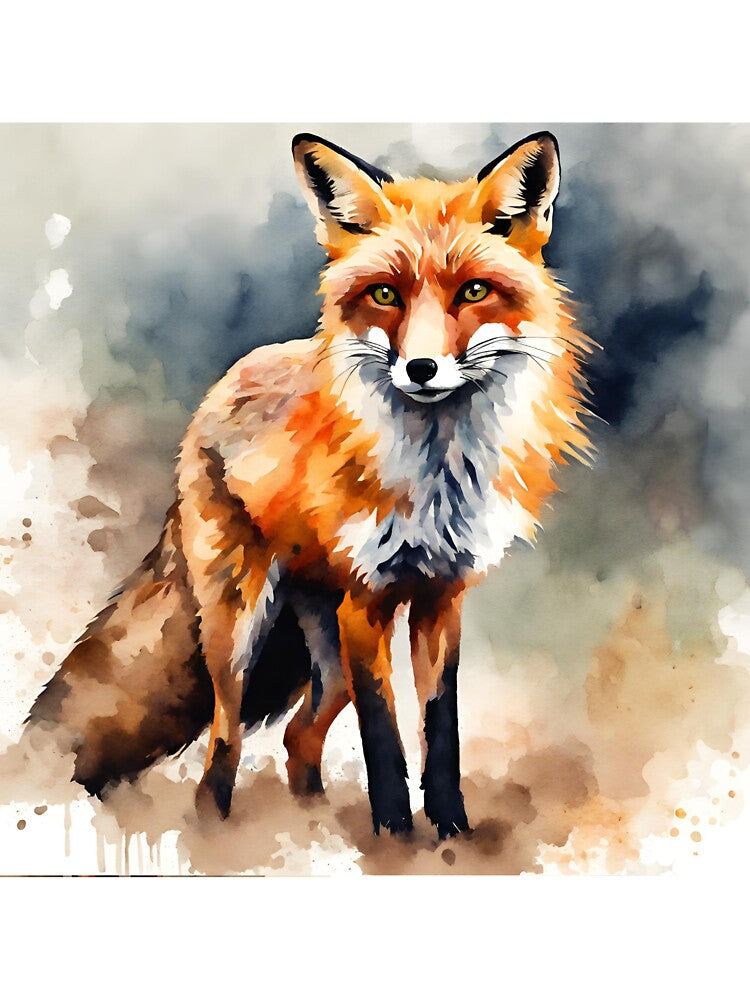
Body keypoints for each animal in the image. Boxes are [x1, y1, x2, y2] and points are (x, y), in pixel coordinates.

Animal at [27, 131, 593, 839]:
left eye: (473, 291)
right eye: (385, 295)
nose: (422, 368)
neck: (434, 477)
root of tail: (225, 381)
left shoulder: (440, 599)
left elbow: (441, 731)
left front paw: (451, 835)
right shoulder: (367, 602)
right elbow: (384, 738)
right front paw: (394, 837)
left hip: (322, 653)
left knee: (298, 738)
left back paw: (311, 821)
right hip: (242, 628)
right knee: (225, 739)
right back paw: (219, 832)